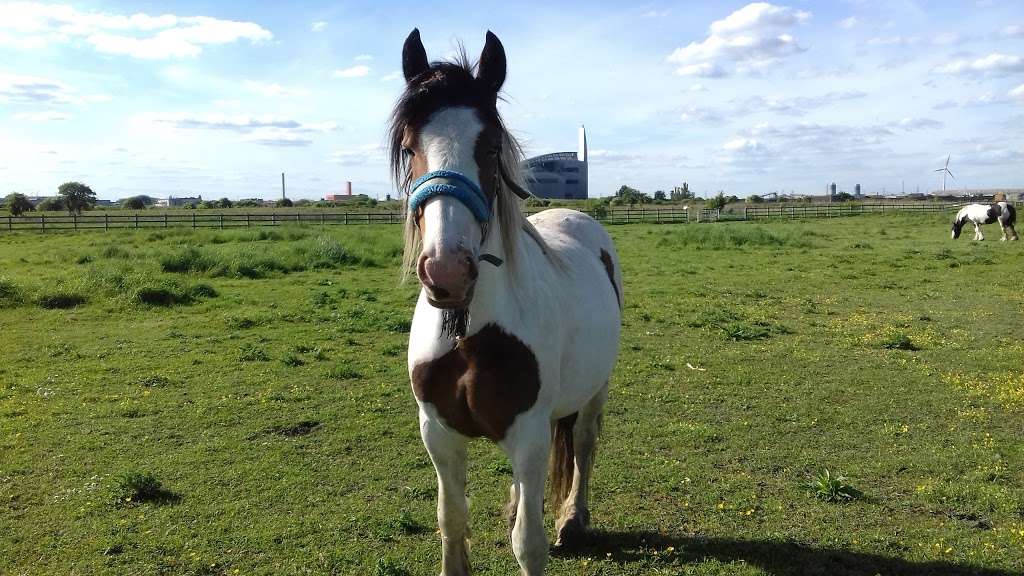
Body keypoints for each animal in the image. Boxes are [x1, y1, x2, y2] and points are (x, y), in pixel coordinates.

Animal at [387, 30, 618, 573]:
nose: (447, 271)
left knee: (583, 444)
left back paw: (573, 519)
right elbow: (452, 522)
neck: (470, 333)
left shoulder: (528, 434)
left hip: (593, 391)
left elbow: (527, 543)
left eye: (491, 147)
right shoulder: (439, 434)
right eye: (409, 147)